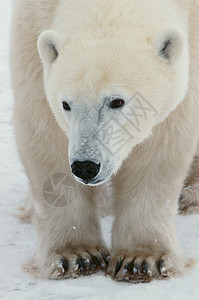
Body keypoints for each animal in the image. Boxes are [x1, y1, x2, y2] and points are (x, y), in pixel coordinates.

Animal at [10, 0, 199, 282]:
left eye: (117, 101)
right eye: (66, 104)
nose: (86, 166)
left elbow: (161, 146)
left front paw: (141, 259)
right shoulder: (31, 31)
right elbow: (45, 135)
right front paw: (76, 255)